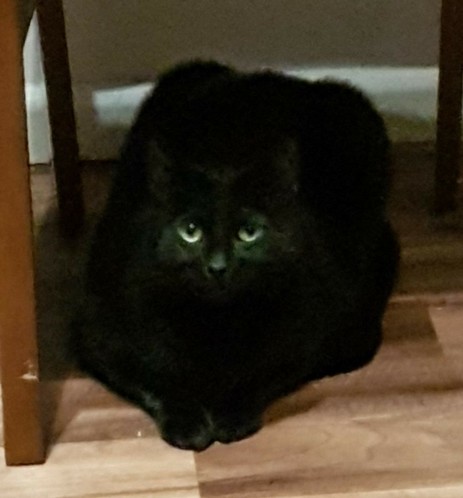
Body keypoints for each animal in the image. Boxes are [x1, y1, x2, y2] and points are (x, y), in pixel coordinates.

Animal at [70, 61, 400, 452]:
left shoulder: (306, 335)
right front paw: (187, 422)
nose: (217, 266)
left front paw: (232, 415)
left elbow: (264, 374)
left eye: (248, 232)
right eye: (190, 230)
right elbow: (157, 379)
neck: (215, 325)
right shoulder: (100, 336)